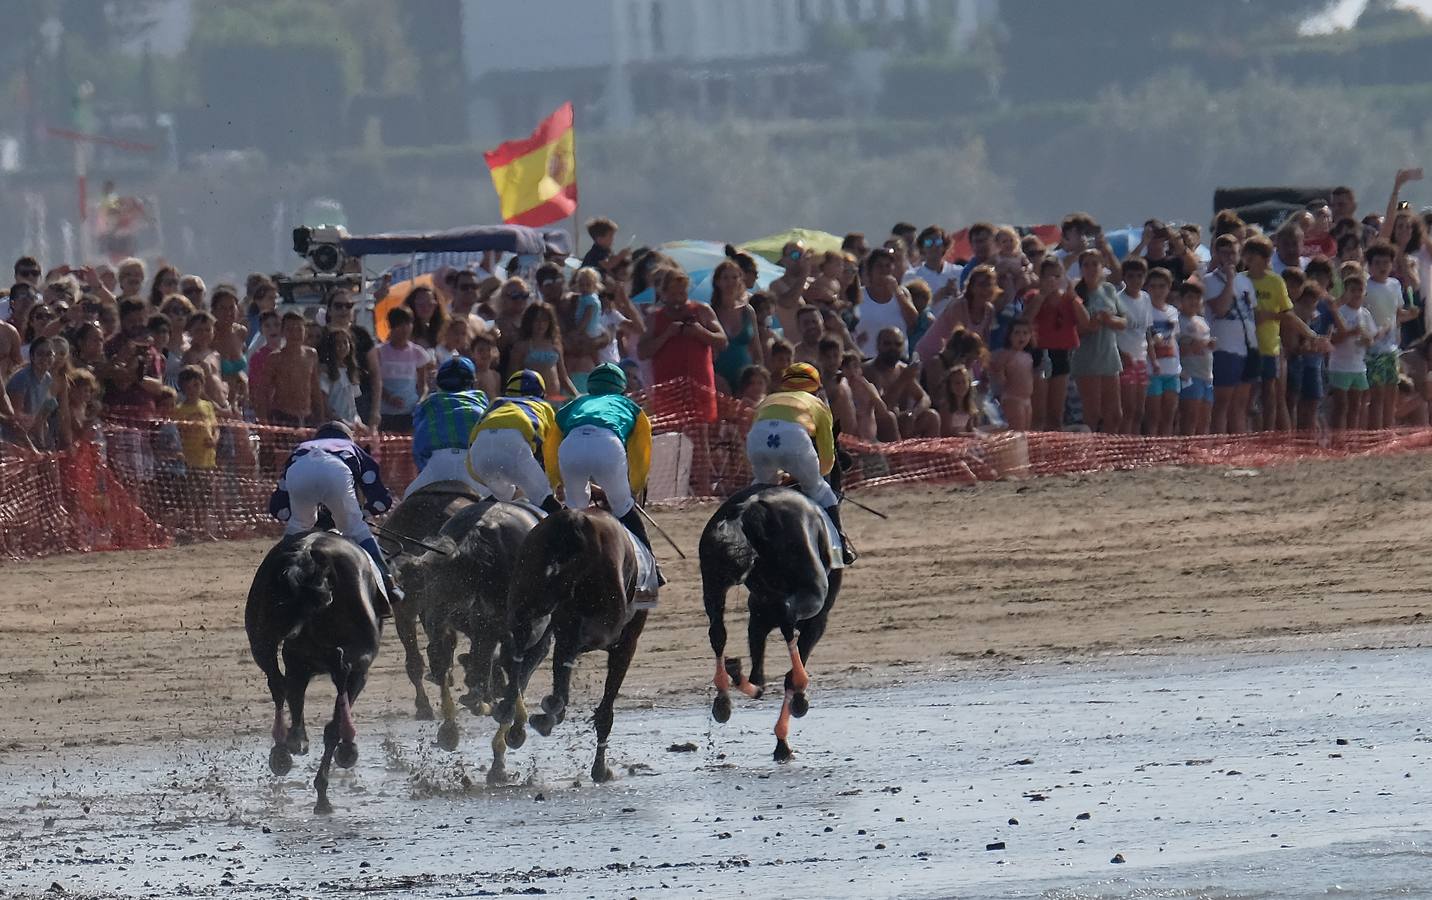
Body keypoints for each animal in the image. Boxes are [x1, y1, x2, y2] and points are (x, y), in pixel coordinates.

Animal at [246, 530, 383, 814]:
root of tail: (307, 553)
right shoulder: (359, 668)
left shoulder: (297, 662)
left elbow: (293, 694)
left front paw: (295, 741)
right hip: (360, 655)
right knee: (340, 676)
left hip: (261, 640)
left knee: (277, 682)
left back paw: (284, 747)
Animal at [489, 510, 652, 785]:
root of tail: (573, 520)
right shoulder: (625, 643)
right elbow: (605, 711)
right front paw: (600, 769)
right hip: (601, 621)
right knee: (569, 644)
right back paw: (550, 708)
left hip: (526, 595)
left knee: (522, 645)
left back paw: (511, 708)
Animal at [701, 444, 853, 756]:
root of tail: (747, 510)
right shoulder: (818, 620)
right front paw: (791, 720)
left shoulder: (757, 618)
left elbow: (757, 674)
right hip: (813, 594)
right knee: (787, 618)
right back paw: (797, 686)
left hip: (713, 582)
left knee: (717, 632)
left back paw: (724, 695)